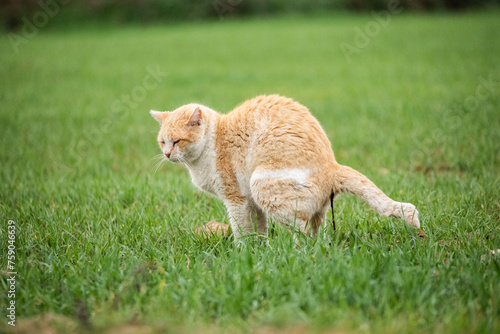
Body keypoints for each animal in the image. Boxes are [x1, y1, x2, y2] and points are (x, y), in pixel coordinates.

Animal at [150, 95, 420, 239]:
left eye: (177, 141)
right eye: (163, 142)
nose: (167, 154)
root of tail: (332, 166)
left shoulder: (236, 199)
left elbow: (241, 231)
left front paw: (243, 254)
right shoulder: (251, 203)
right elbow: (259, 229)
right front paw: (259, 250)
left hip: (263, 187)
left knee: (302, 233)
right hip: (312, 209)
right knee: (317, 233)